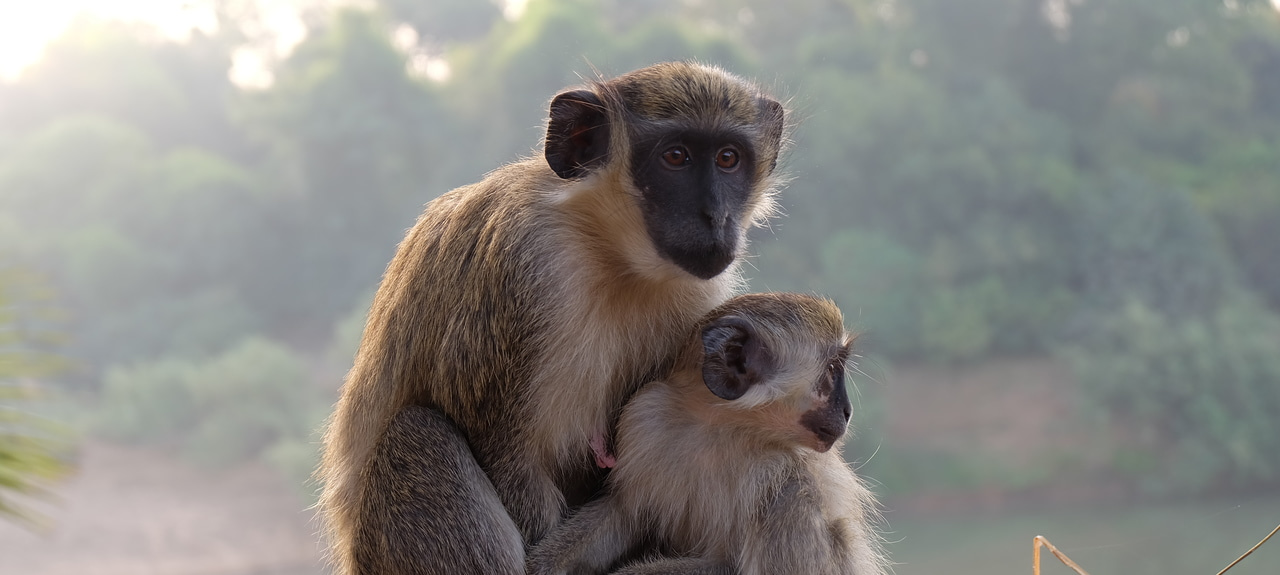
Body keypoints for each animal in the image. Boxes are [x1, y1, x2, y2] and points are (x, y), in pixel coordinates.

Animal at [316, 62, 787, 575]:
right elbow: (507, 456)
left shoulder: (698, 301)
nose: (715, 217)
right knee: (417, 433)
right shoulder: (520, 267)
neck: (610, 255)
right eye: (676, 157)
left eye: (728, 158)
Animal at [526, 292, 887, 575]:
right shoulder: (644, 419)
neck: (720, 427)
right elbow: (625, 510)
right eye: (832, 370)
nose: (847, 411)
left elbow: (729, 563)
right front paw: (544, 562)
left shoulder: (778, 470)